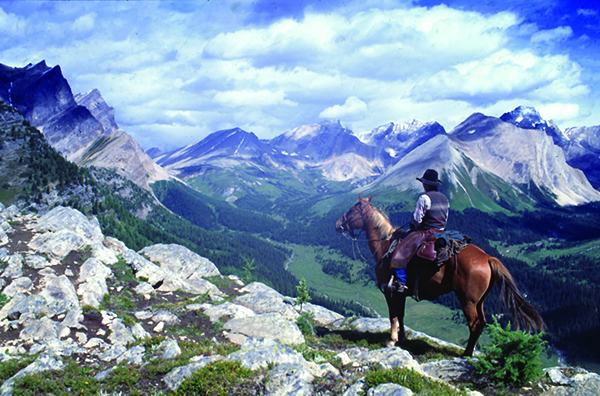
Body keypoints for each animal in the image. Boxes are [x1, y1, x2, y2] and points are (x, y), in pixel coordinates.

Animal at [336, 194, 548, 356]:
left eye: (353, 210)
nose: (338, 225)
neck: (386, 245)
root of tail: (488, 258)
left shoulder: (390, 291)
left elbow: (393, 316)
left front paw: (392, 340)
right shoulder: (400, 292)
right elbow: (401, 315)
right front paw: (402, 337)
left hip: (467, 300)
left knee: (474, 324)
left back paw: (466, 354)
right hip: (479, 301)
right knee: (482, 323)